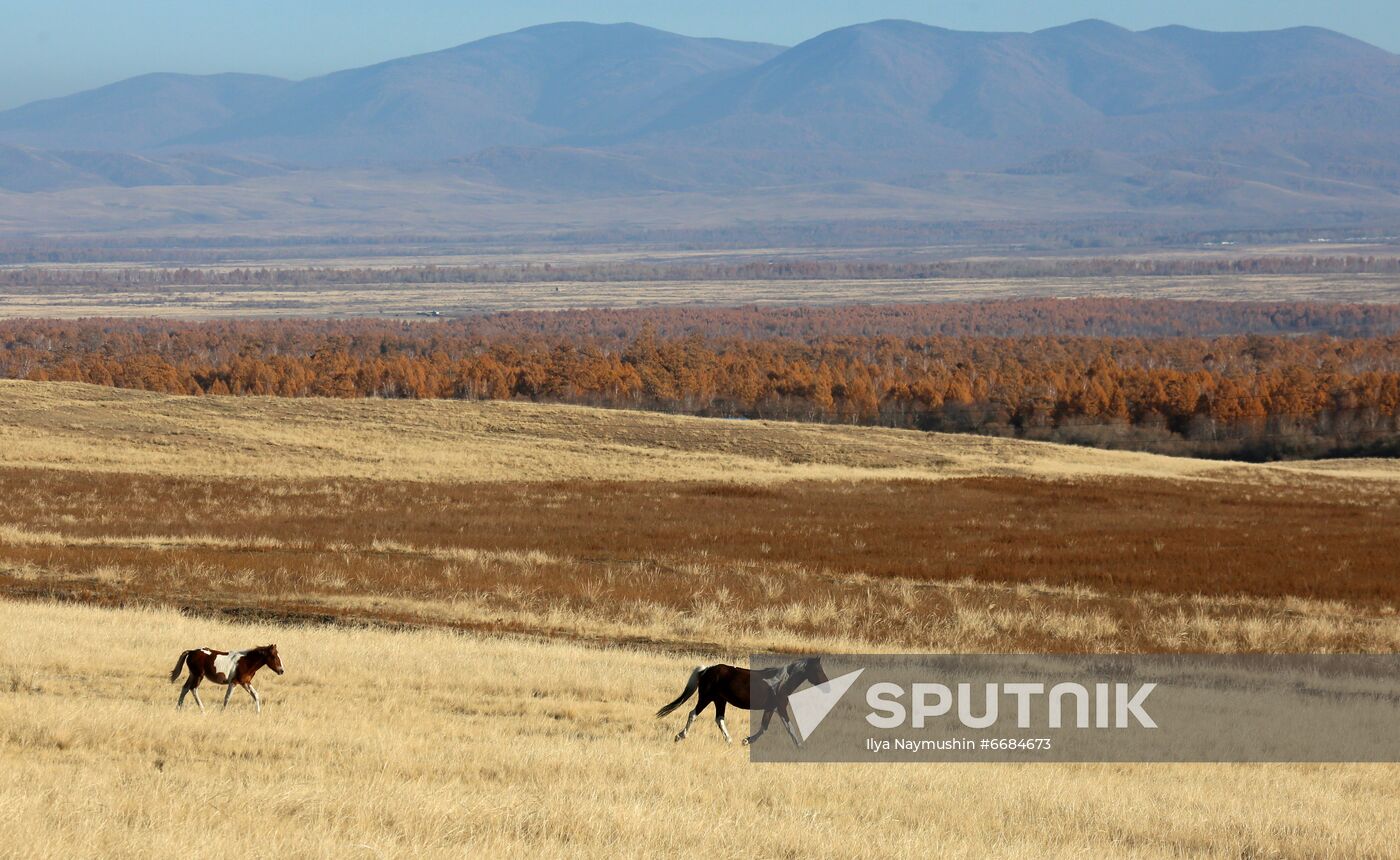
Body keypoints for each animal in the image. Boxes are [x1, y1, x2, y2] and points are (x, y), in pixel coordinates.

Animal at [655, 661, 828, 750]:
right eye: (817, 668)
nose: (827, 685)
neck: (782, 682)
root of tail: (707, 669)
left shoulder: (771, 708)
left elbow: (764, 727)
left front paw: (745, 741)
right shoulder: (780, 707)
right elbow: (789, 727)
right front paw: (800, 747)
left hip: (720, 700)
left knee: (719, 719)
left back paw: (729, 740)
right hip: (706, 698)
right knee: (693, 713)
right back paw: (680, 736)